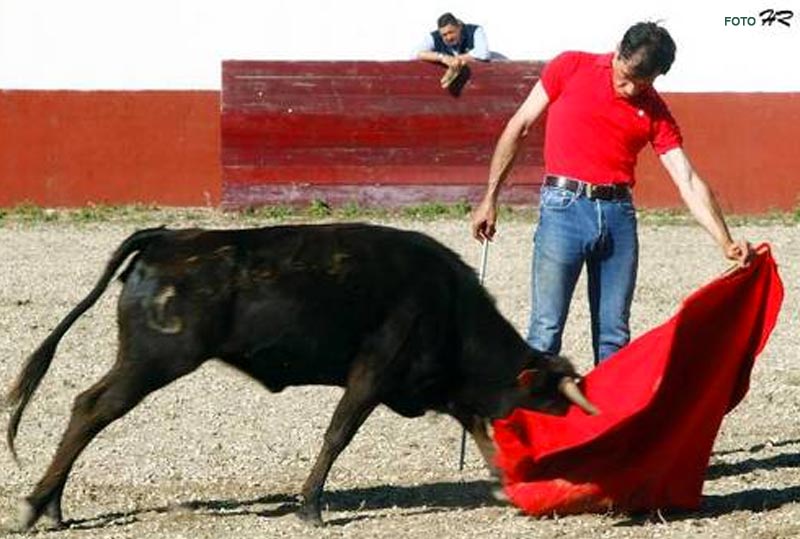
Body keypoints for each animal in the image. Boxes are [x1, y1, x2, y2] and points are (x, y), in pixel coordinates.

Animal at [6, 223, 592, 528]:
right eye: (551, 397)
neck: (449, 305)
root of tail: (167, 239)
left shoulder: (435, 386)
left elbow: (477, 427)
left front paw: (505, 485)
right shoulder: (374, 372)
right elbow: (338, 434)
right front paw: (310, 506)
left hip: (143, 360)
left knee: (87, 407)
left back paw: (52, 505)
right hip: (153, 360)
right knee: (91, 408)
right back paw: (36, 504)